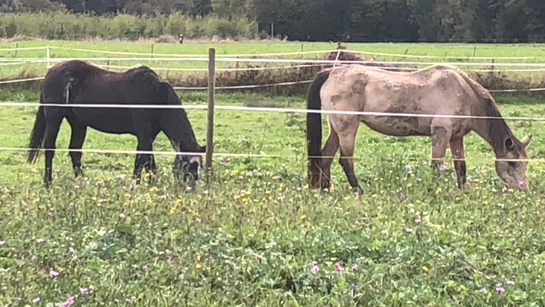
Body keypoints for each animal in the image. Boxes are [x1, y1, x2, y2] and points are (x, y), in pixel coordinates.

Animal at [26, 59, 204, 186]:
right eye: (188, 167)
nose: (191, 189)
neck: (155, 96)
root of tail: (51, 71)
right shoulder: (144, 135)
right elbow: (146, 162)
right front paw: (142, 186)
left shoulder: (147, 137)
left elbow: (143, 161)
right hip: (54, 119)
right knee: (50, 148)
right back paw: (48, 182)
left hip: (78, 123)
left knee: (75, 151)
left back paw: (82, 182)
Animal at [306, 64, 532, 194]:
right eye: (512, 163)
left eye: (525, 163)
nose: (523, 189)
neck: (465, 94)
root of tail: (332, 72)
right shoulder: (441, 133)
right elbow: (436, 165)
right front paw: (434, 190)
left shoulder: (456, 137)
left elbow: (461, 167)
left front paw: (462, 191)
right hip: (347, 128)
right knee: (345, 160)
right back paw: (358, 190)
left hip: (336, 129)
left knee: (325, 157)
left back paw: (325, 190)